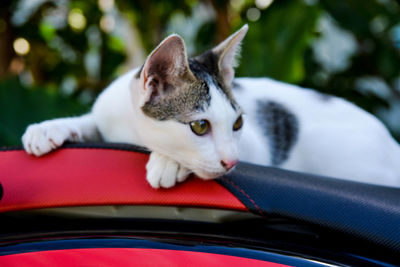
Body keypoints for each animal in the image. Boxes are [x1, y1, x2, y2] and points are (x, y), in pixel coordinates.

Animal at [21, 24, 400, 188]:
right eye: (199, 126)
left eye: (237, 125)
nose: (232, 162)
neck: (133, 132)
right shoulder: (108, 111)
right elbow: (89, 120)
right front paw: (49, 127)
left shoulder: (256, 146)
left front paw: (169, 163)